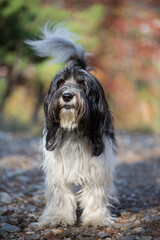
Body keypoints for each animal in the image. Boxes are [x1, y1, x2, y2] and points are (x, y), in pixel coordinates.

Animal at [25, 22, 117, 227]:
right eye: (60, 83)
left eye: (82, 84)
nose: (67, 96)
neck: (74, 130)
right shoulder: (57, 168)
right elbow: (61, 194)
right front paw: (58, 217)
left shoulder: (98, 164)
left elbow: (94, 193)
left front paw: (96, 218)